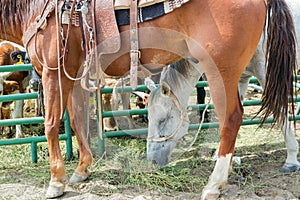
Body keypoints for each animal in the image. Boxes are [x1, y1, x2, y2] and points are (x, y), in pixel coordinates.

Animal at [0, 0, 296, 198]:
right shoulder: (73, 75)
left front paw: (56, 182)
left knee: (231, 119)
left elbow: (51, 125)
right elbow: (77, 122)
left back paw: (213, 185)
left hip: (221, 70)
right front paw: (82, 170)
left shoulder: (54, 73)